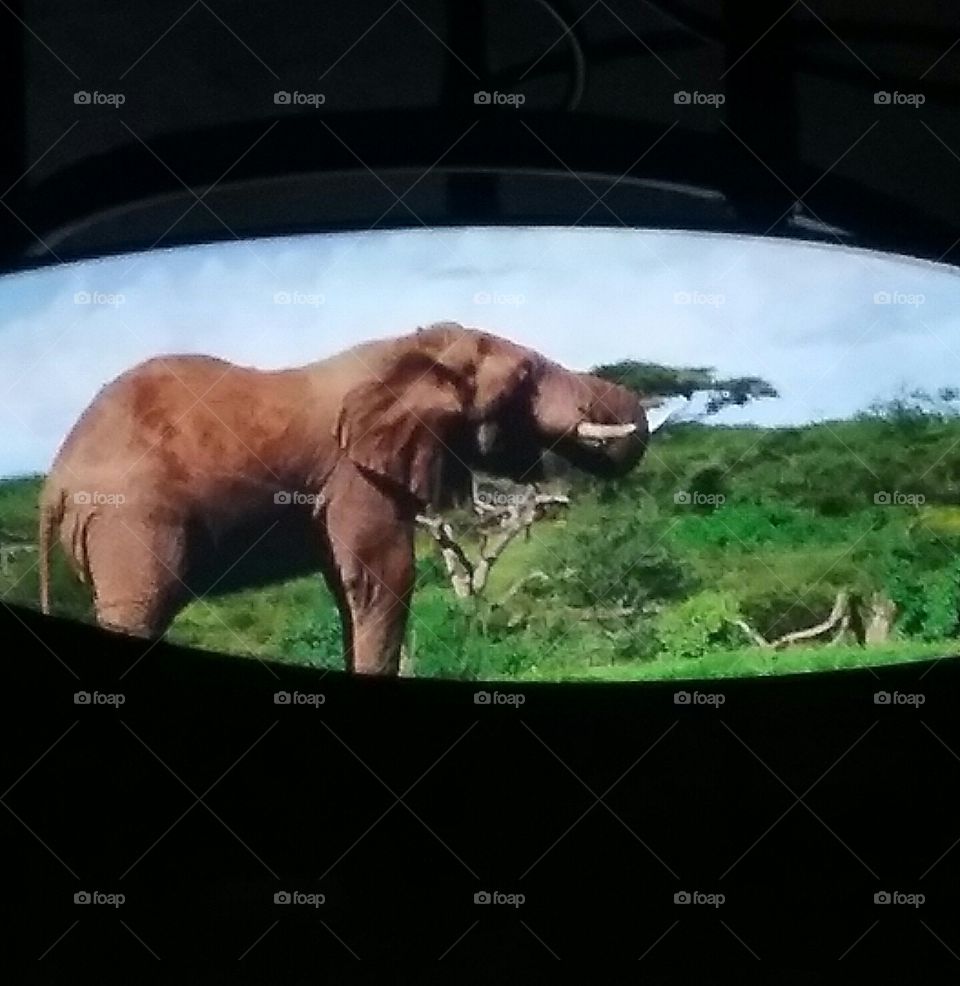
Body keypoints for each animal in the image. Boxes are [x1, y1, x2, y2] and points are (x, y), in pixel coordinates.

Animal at [39, 321, 653, 675]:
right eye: (525, 376)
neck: (414, 350)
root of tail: (53, 483)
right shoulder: (354, 474)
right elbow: (386, 578)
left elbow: (347, 586)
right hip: (130, 520)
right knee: (140, 609)